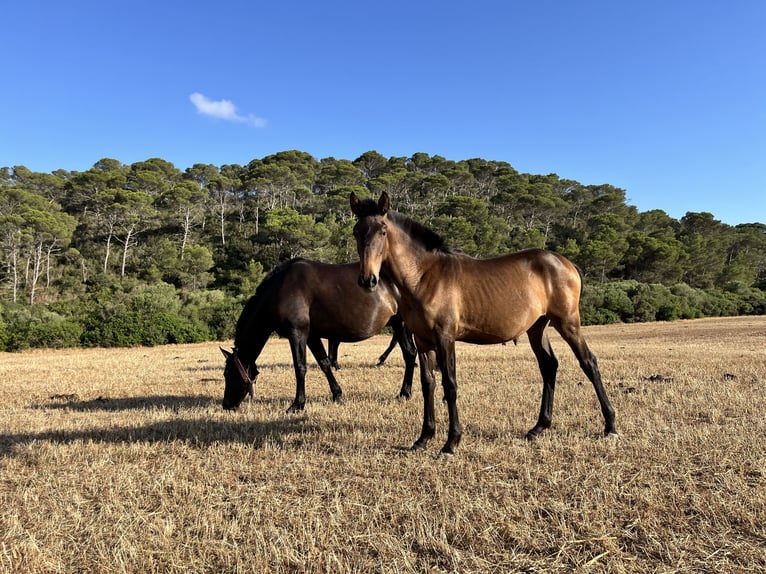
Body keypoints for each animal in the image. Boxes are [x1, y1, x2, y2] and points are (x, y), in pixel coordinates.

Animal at [219, 258, 416, 414]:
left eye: (227, 373)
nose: (226, 405)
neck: (280, 290)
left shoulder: (297, 333)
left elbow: (300, 367)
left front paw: (297, 405)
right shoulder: (311, 336)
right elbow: (324, 363)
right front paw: (337, 394)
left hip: (401, 324)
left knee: (408, 354)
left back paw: (404, 393)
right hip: (400, 325)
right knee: (410, 353)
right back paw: (405, 392)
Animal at [350, 192, 616, 454]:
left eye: (383, 230)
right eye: (356, 231)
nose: (367, 280)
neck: (424, 276)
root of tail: (566, 263)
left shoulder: (445, 338)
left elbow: (450, 385)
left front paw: (451, 442)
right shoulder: (423, 341)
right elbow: (428, 385)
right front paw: (423, 438)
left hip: (568, 323)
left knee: (589, 363)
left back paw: (610, 425)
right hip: (537, 328)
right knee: (549, 366)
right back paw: (538, 427)